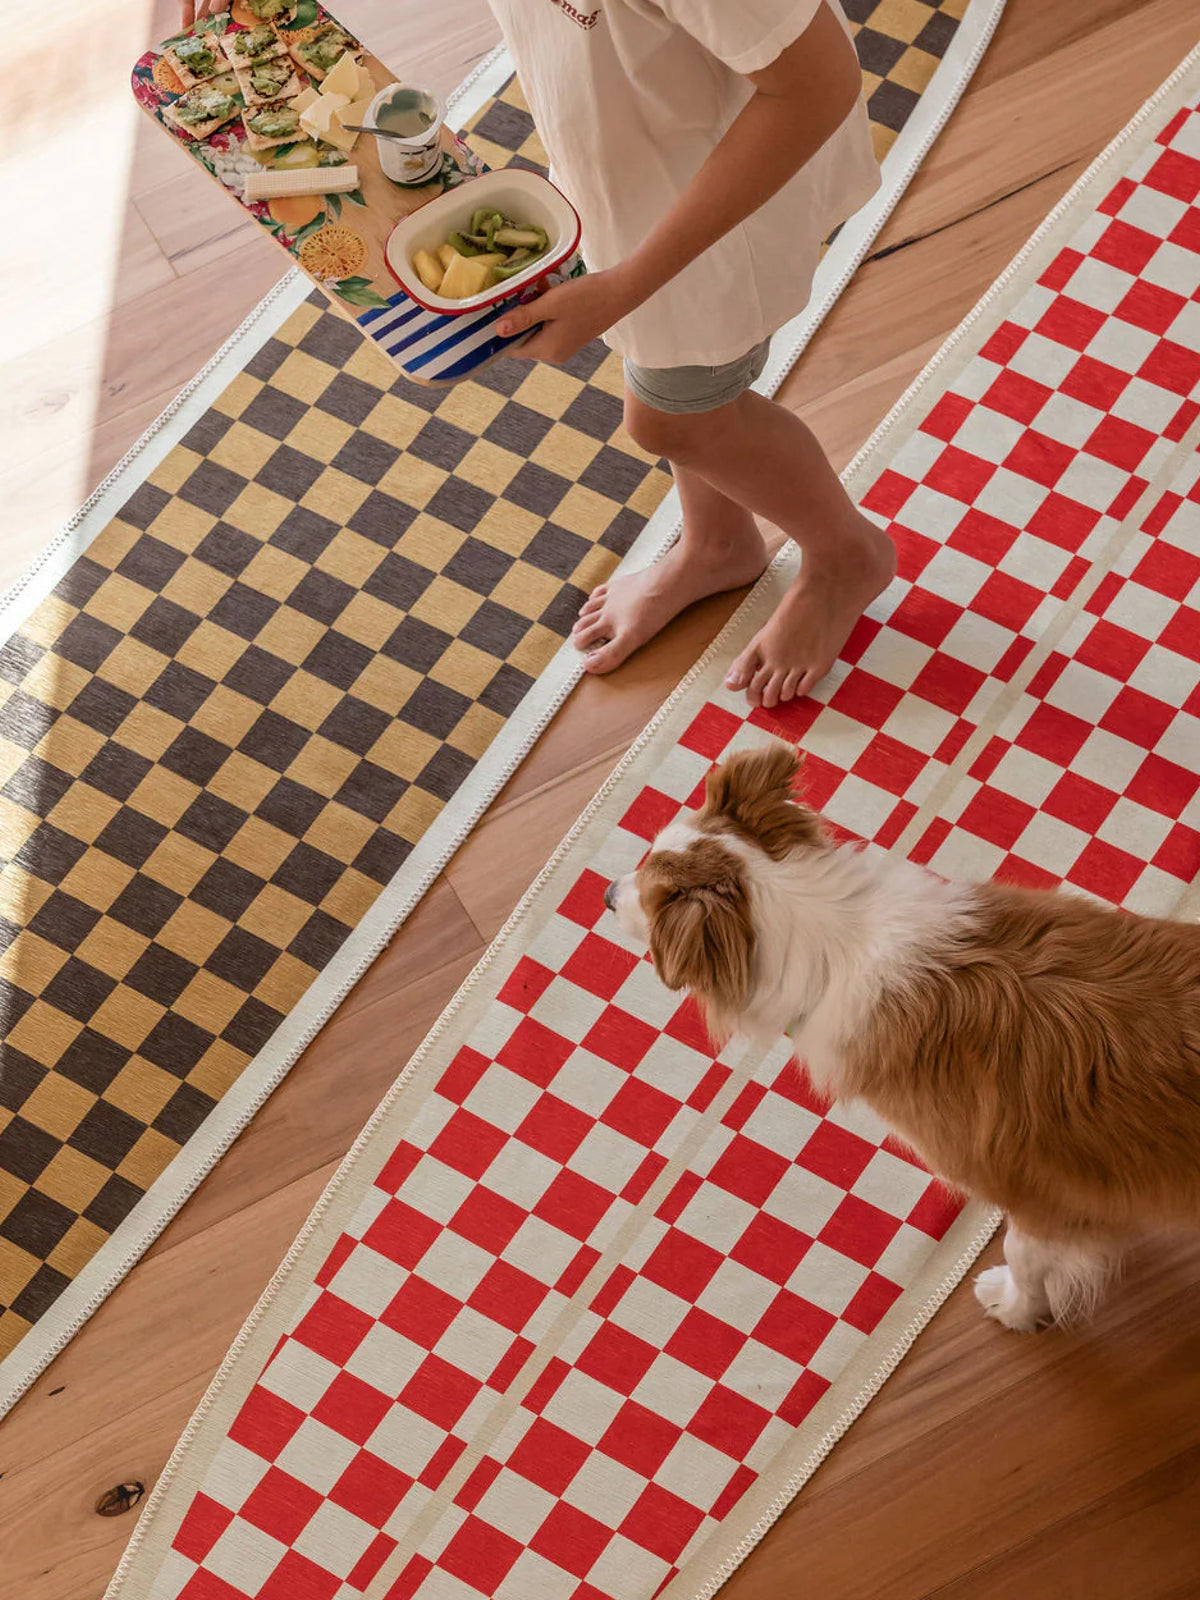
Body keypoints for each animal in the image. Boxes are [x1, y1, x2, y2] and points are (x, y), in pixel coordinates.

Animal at [604, 742, 1200, 1331]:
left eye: (649, 895)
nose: (607, 892)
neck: (836, 937)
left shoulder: (1038, 1199)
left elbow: (1024, 1258)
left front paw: (1014, 1308)